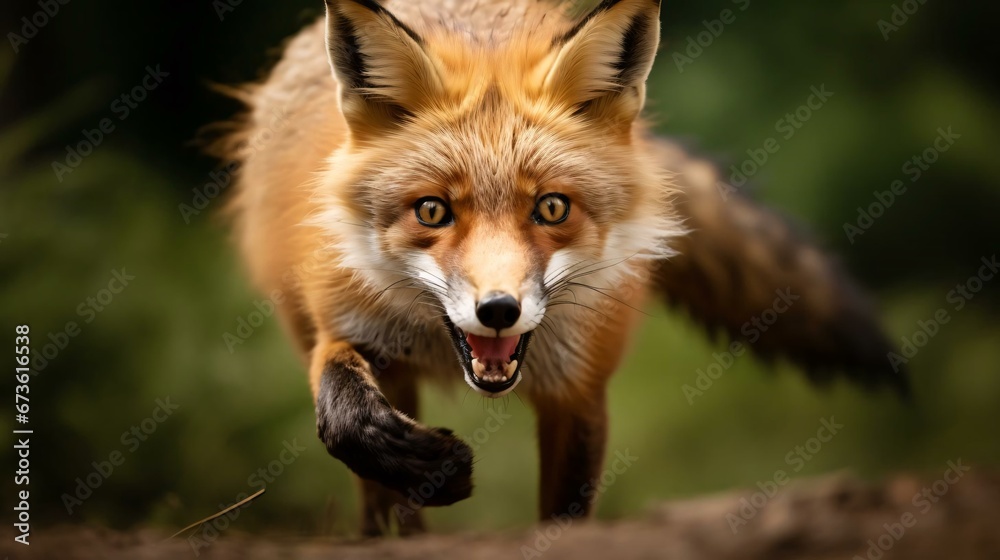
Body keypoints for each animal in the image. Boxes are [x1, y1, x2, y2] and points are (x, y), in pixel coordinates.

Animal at [217, 0, 908, 536]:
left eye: (551, 207)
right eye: (432, 210)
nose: (498, 311)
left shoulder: (580, 392)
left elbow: (566, 515)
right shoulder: (344, 328)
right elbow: (345, 422)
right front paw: (431, 466)